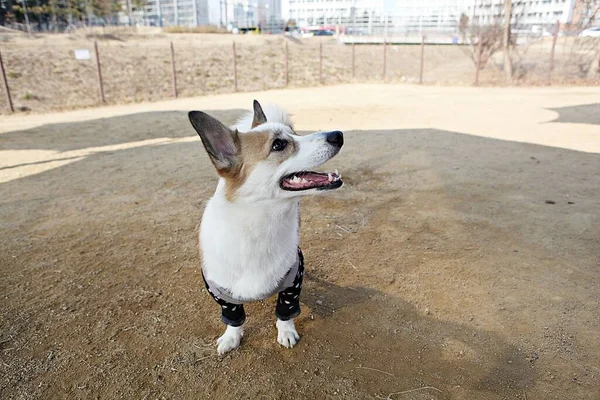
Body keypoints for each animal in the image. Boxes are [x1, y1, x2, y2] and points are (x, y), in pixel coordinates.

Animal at [190, 100, 344, 354]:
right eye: (278, 144)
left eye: (294, 133)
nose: (338, 134)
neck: (259, 224)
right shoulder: (221, 294)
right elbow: (234, 318)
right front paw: (231, 338)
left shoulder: (292, 282)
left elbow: (285, 313)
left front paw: (287, 332)